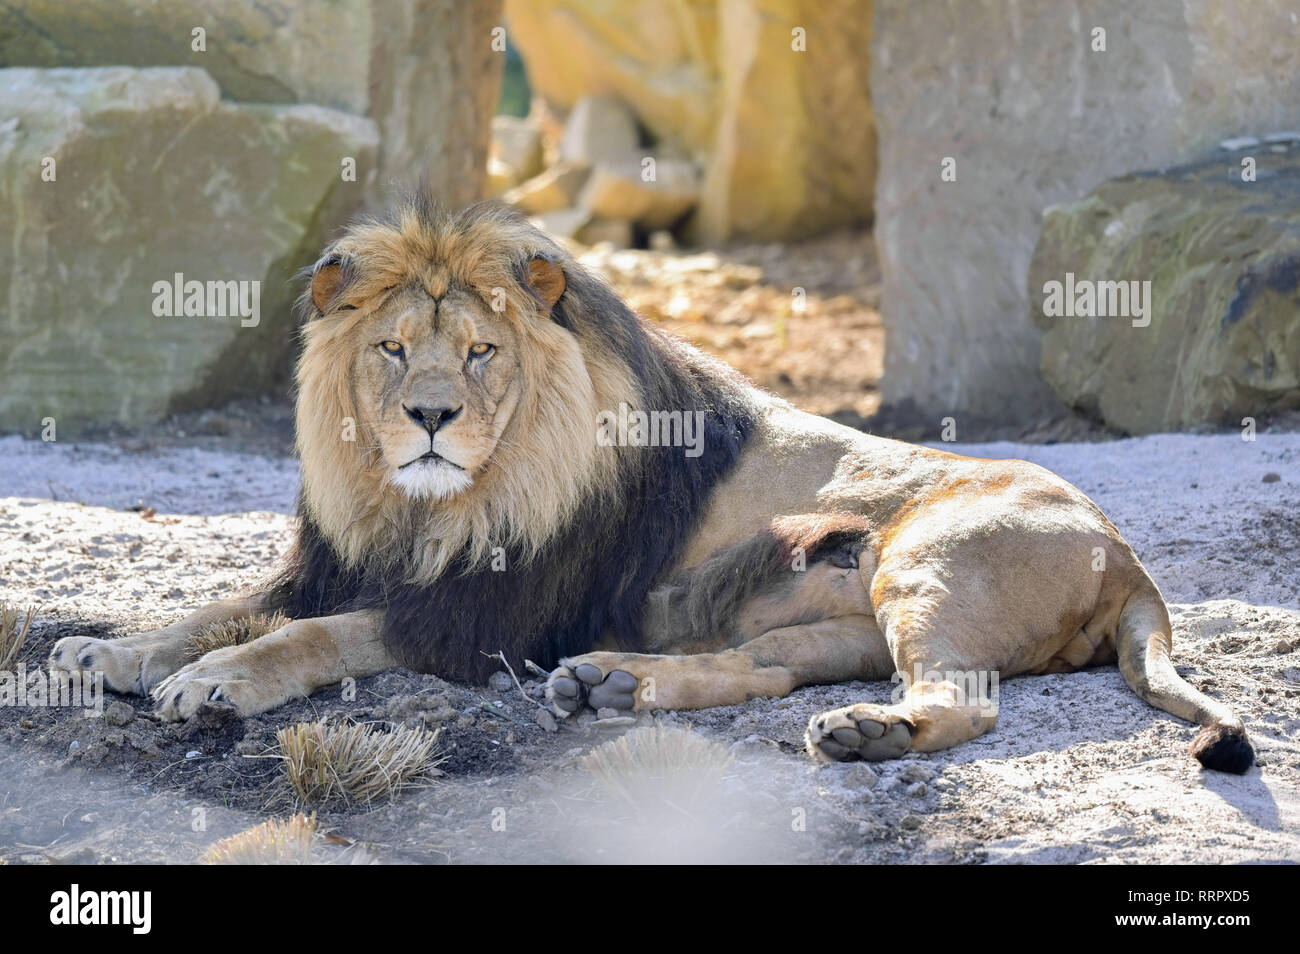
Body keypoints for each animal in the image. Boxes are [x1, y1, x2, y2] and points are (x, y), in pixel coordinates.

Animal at [45, 197, 1253, 774]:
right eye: (391, 350)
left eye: (478, 354)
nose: (431, 418)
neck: (421, 506)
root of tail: (1129, 555)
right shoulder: (336, 559)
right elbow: (219, 605)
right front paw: (106, 652)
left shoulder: (486, 618)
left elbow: (309, 639)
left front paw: (216, 684)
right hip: (849, 614)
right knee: (769, 668)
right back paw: (618, 686)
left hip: (929, 558)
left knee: (964, 702)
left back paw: (865, 735)